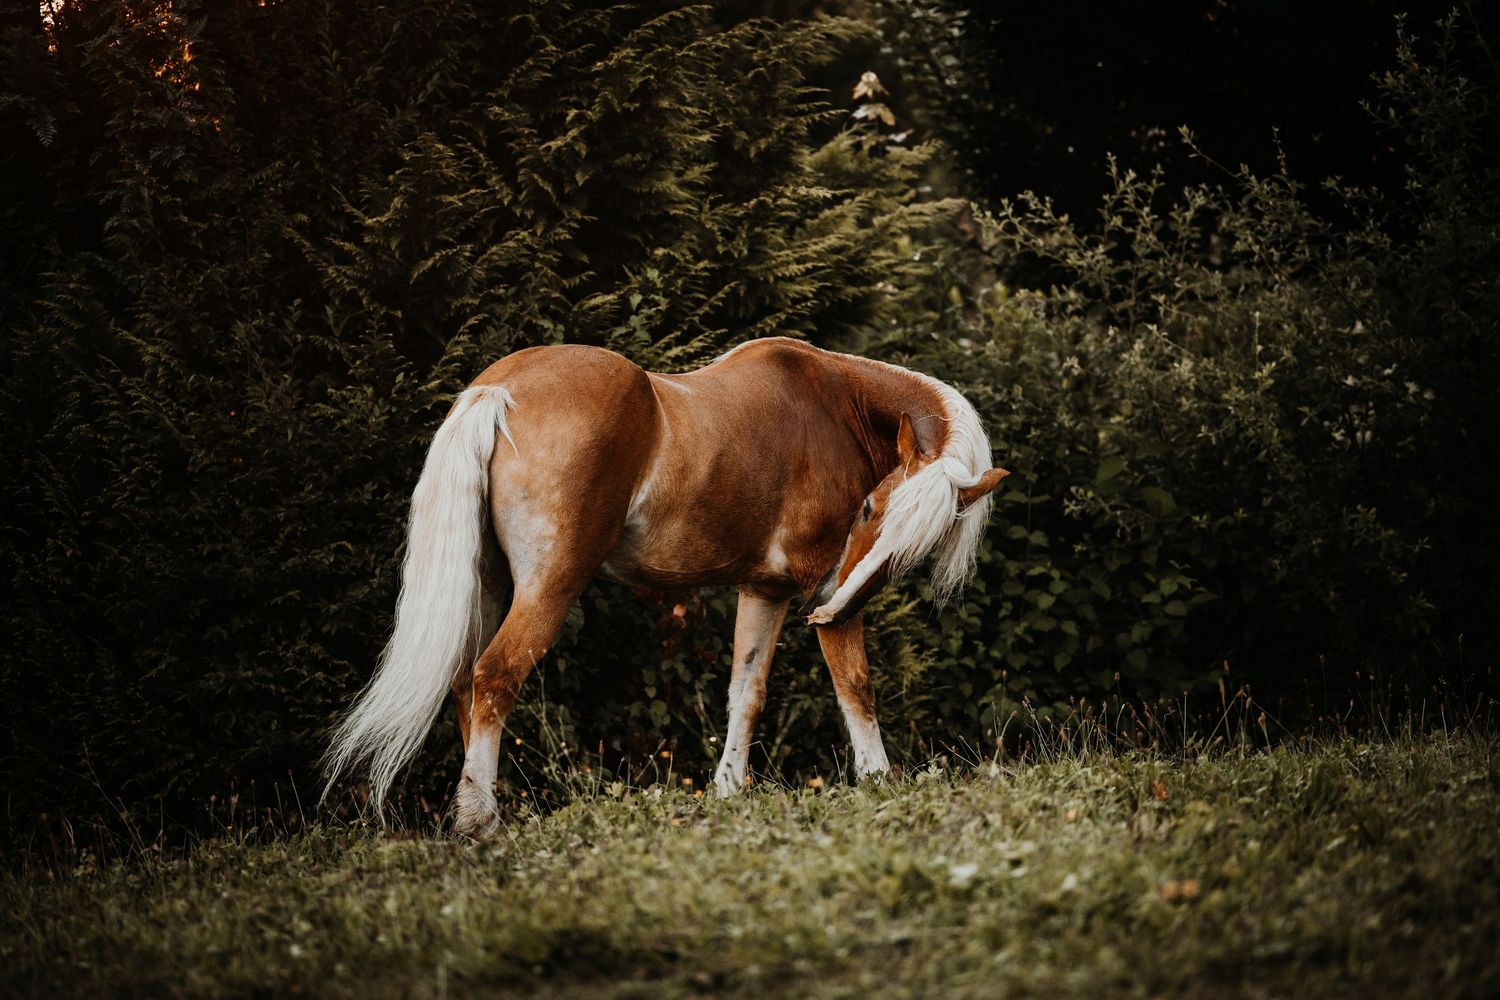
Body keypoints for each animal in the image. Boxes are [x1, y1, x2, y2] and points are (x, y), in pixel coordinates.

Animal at [323, 337, 1007, 836]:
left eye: (914, 549)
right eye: (868, 509)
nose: (830, 608)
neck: (835, 401)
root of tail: (499, 393)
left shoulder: (766, 592)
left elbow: (746, 693)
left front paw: (727, 792)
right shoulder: (817, 588)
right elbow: (855, 687)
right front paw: (878, 781)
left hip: (487, 588)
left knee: (467, 684)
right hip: (549, 588)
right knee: (496, 677)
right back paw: (480, 820)